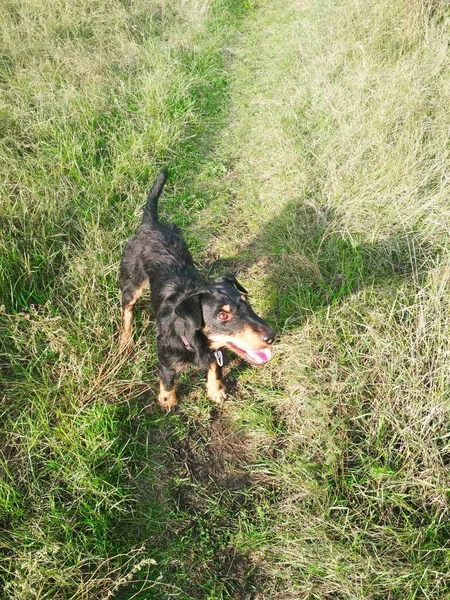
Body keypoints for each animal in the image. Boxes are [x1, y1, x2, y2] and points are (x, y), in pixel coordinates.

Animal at [118, 169, 274, 412]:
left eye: (245, 302)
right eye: (222, 315)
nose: (271, 336)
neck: (195, 341)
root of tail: (150, 223)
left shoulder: (216, 354)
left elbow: (216, 370)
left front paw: (216, 391)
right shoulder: (166, 359)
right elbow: (167, 380)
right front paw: (168, 401)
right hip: (132, 281)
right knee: (127, 309)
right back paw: (125, 340)